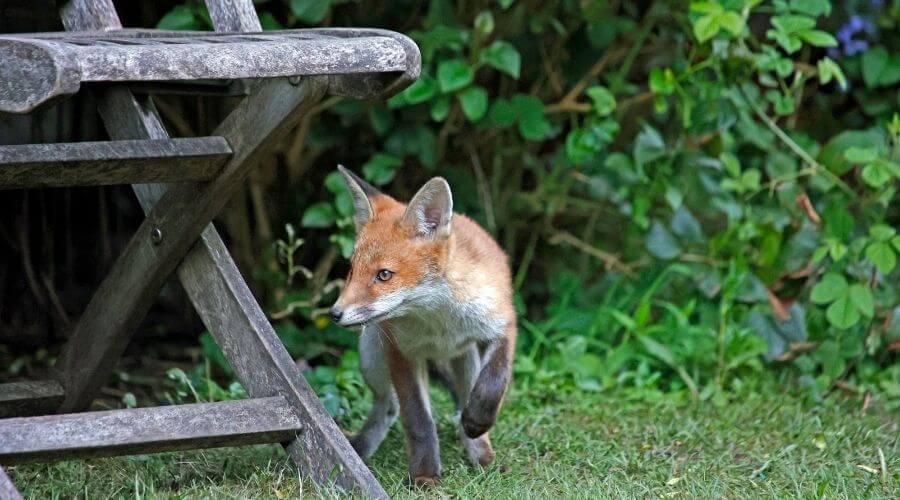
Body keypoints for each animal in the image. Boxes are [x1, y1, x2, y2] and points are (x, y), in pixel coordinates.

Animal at [329, 165, 517, 486]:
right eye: (351, 271)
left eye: (384, 275)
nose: (335, 313)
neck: (439, 321)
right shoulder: (401, 351)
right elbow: (417, 420)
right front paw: (425, 473)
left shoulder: (502, 321)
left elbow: (495, 380)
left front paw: (478, 421)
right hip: (371, 355)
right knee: (388, 406)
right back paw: (359, 450)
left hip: (465, 359)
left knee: (465, 398)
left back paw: (481, 455)